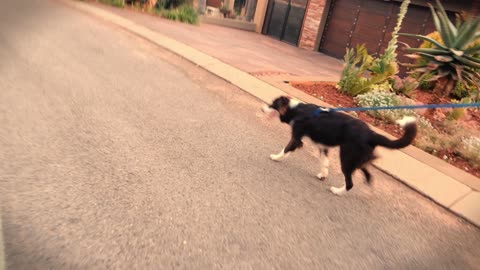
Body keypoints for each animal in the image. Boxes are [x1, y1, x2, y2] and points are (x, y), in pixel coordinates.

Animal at [262, 96, 416, 195]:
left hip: (347, 157)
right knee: (368, 173)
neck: (295, 110)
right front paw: (323, 174)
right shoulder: (322, 146)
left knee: (350, 183)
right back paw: (368, 183)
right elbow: (324, 161)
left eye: (272, 104)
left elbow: (286, 149)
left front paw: (275, 157)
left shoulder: (296, 137)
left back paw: (337, 191)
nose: (262, 109)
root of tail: (371, 133)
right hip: (358, 158)